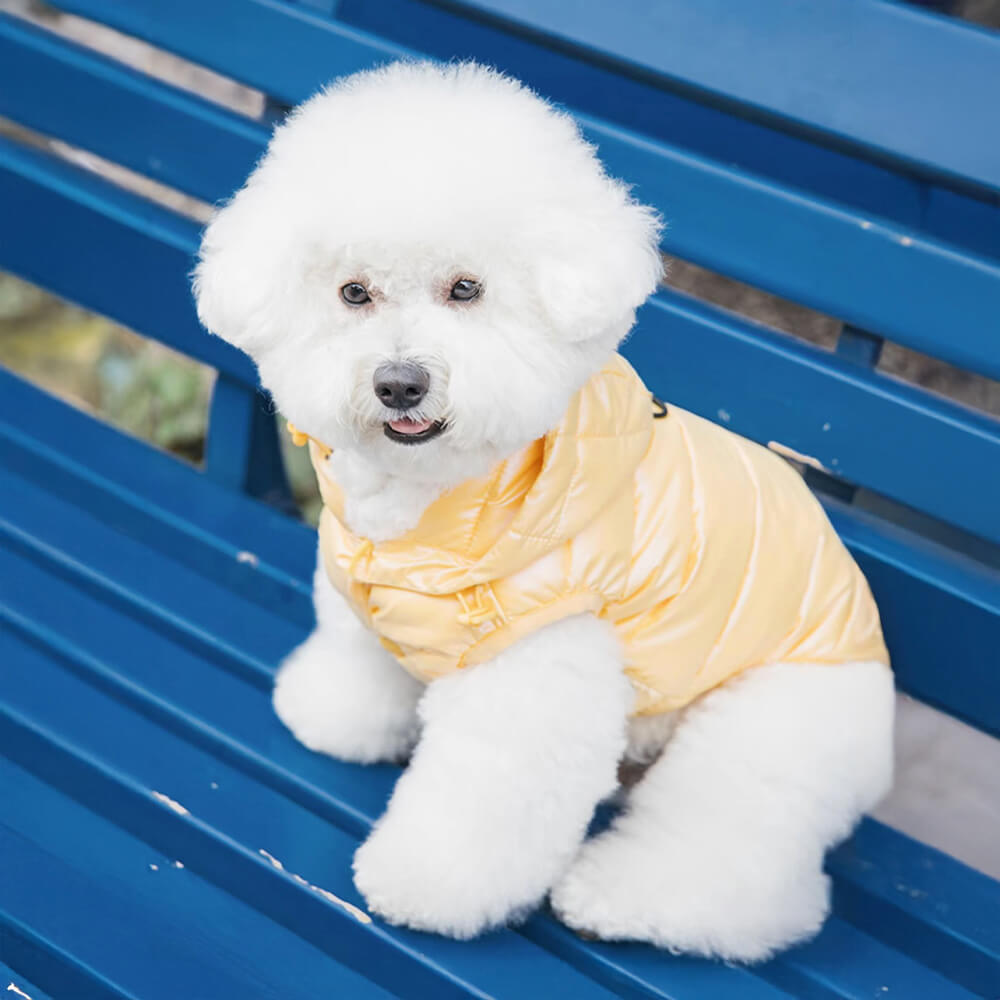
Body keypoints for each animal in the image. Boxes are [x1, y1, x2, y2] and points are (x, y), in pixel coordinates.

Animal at [191, 60, 896, 960]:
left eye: (466, 289)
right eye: (354, 292)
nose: (400, 383)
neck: (429, 513)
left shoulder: (534, 681)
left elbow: (483, 804)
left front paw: (427, 886)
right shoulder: (368, 602)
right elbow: (360, 659)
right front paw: (338, 717)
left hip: (766, 735)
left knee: (738, 863)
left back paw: (625, 897)